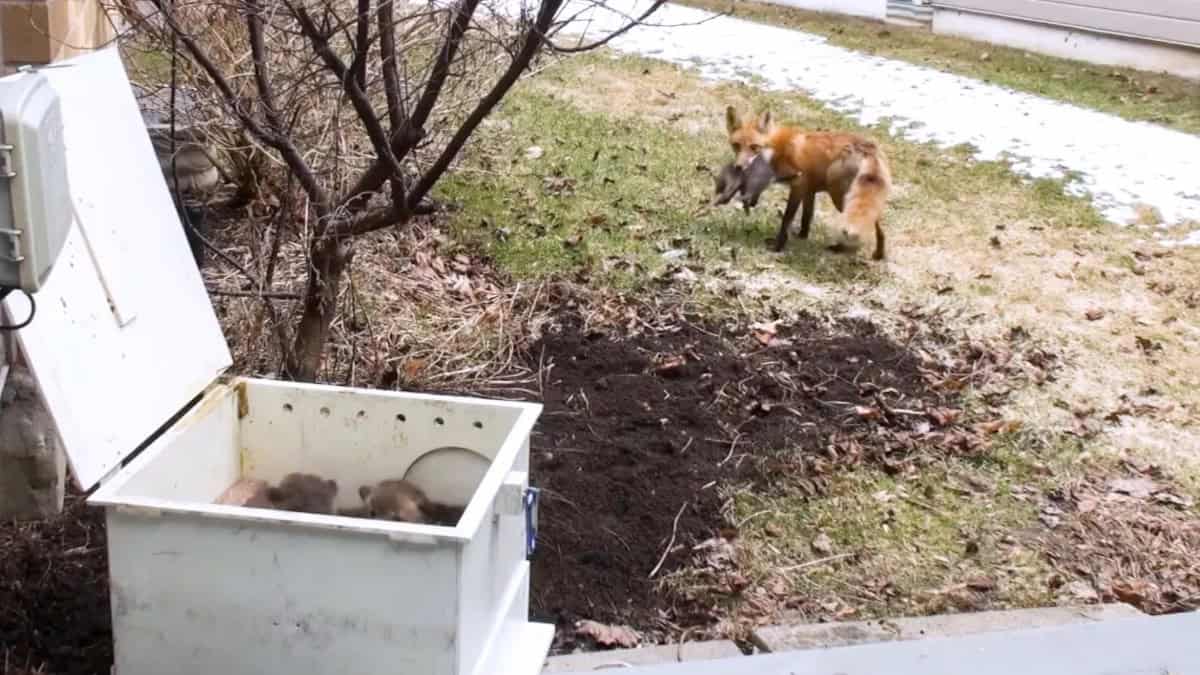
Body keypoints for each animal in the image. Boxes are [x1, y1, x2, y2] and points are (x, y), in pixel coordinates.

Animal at [720, 105, 892, 257]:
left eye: (754, 147)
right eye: (736, 145)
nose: (739, 167)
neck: (777, 148)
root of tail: (868, 148)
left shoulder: (799, 184)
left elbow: (787, 219)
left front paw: (778, 246)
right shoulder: (809, 189)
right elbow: (807, 216)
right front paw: (802, 236)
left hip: (838, 194)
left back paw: (843, 248)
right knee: (878, 227)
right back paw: (878, 254)